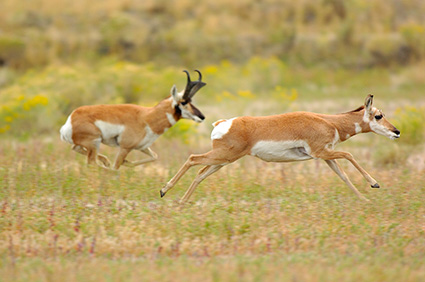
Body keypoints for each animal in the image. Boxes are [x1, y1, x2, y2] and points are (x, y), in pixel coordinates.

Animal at [59, 70, 205, 170]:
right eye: (184, 102)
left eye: (191, 101)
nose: (202, 117)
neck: (147, 117)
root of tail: (71, 118)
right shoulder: (124, 148)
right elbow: (116, 168)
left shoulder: (142, 147)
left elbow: (154, 156)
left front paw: (127, 162)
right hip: (94, 143)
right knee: (92, 163)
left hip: (88, 145)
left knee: (77, 149)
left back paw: (105, 161)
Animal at [161, 94, 400, 203]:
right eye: (378, 115)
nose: (396, 131)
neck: (329, 121)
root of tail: (223, 123)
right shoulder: (321, 153)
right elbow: (350, 155)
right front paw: (375, 183)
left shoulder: (326, 157)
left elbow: (343, 176)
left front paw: (364, 199)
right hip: (222, 156)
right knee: (193, 158)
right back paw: (164, 190)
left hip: (223, 160)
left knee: (200, 173)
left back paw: (181, 202)